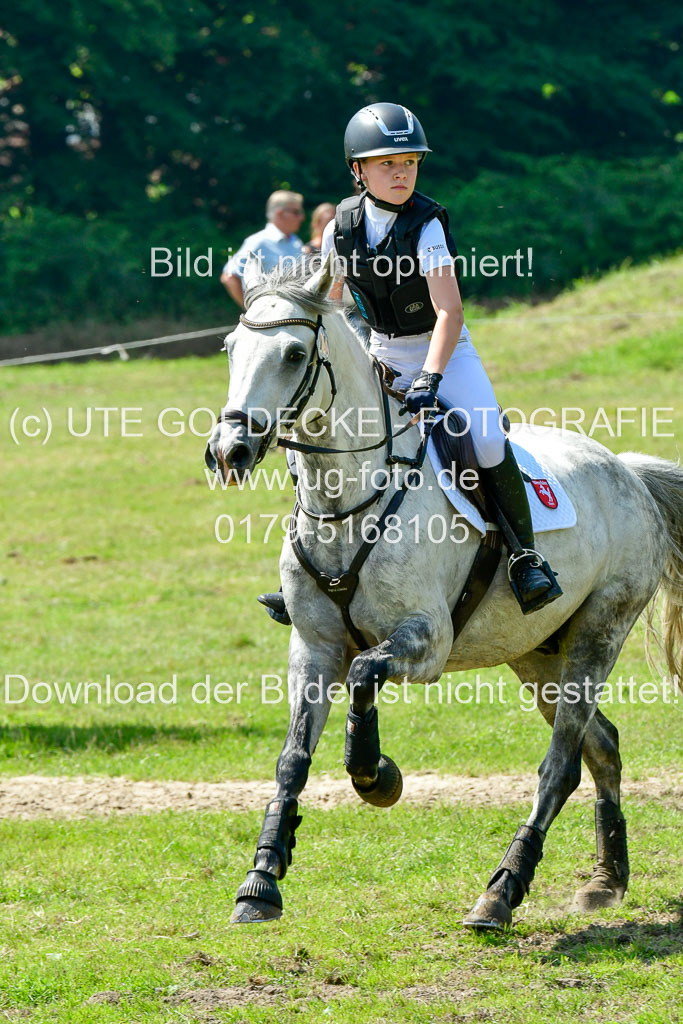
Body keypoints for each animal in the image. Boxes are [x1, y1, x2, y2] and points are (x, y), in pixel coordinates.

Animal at [206, 254, 683, 929]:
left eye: (295, 354)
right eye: (230, 348)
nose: (230, 449)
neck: (348, 497)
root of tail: (630, 472)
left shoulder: (426, 643)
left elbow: (365, 674)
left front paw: (376, 775)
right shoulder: (313, 648)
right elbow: (292, 758)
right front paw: (262, 881)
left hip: (599, 631)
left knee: (560, 764)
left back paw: (501, 893)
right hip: (535, 653)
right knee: (603, 746)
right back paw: (606, 880)